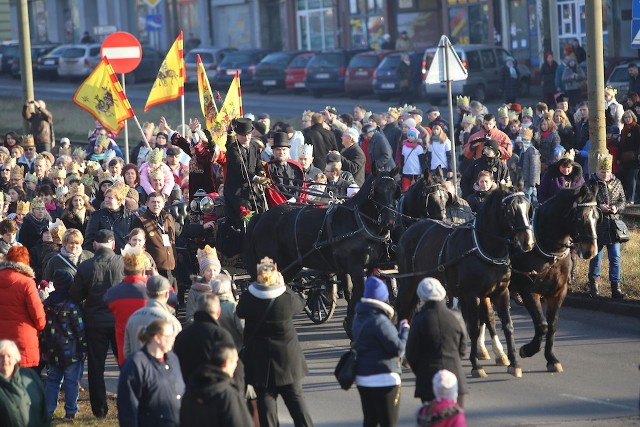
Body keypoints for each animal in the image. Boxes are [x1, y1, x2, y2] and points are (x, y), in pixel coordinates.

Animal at [245, 167, 400, 334]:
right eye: (376, 190)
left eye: (395, 190)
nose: (389, 222)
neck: (357, 222)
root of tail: (261, 217)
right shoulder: (356, 268)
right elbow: (357, 294)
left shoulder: (360, 268)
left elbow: (351, 292)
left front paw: (350, 323)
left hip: (292, 266)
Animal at [396, 186, 536, 378]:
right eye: (510, 210)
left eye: (528, 207)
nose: (528, 241)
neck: (484, 247)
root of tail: (410, 230)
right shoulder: (472, 295)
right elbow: (474, 328)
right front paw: (476, 366)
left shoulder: (500, 292)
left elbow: (507, 326)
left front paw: (513, 363)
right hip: (408, 284)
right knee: (403, 312)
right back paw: (401, 357)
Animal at [508, 186, 596, 372]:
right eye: (580, 217)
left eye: (597, 216)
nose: (591, 250)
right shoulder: (529, 291)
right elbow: (542, 325)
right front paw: (527, 349)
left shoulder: (558, 292)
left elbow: (552, 325)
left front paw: (551, 358)